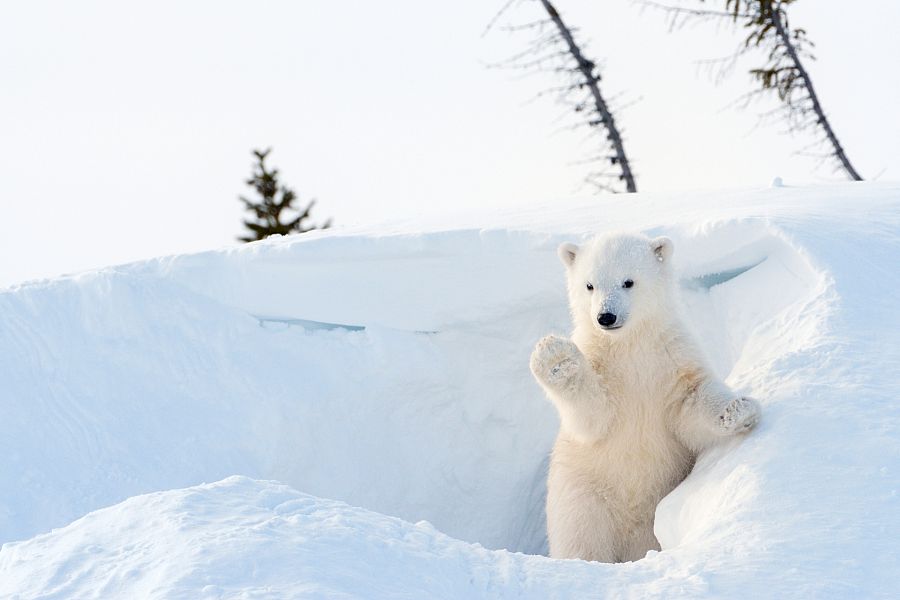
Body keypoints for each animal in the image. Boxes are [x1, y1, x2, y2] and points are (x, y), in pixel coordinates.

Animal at [530, 232, 760, 563]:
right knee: (582, 539)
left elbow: (690, 402)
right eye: (589, 285)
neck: (629, 345)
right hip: (583, 496)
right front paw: (555, 358)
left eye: (628, 281)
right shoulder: (602, 366)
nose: (605, 316)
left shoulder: (671, 357)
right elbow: (593, 417)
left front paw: (738, 410)